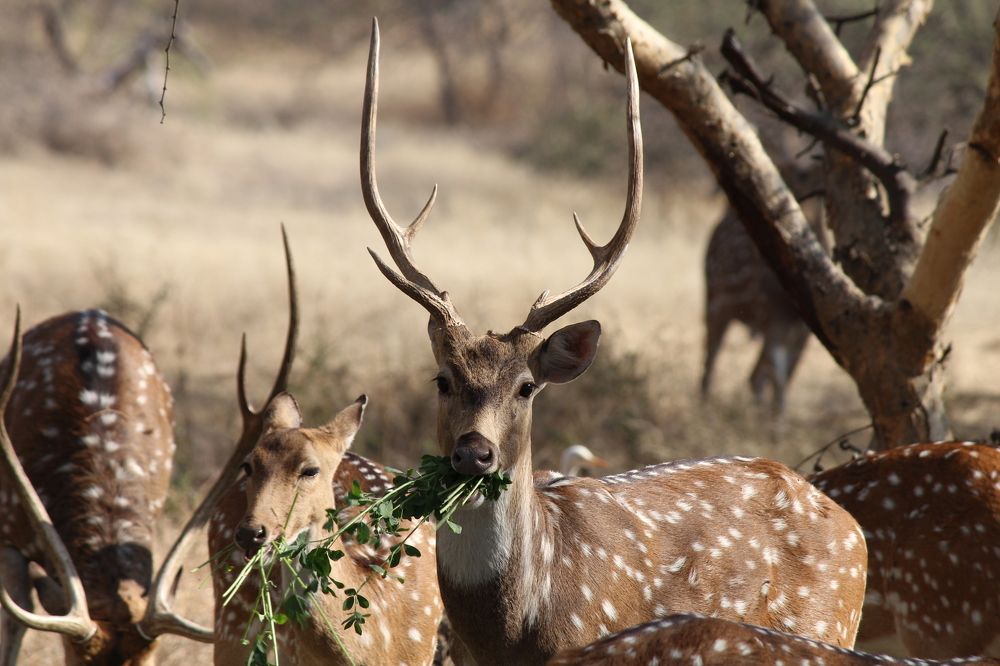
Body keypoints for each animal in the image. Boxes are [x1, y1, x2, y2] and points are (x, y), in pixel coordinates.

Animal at [359, 19, 868, 665]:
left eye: (527, 387)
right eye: (442, 379)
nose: (474, 453)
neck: (517, 631)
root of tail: (852, 528)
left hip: (831, 625)